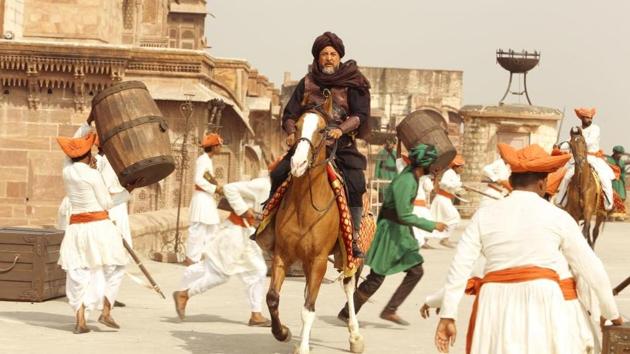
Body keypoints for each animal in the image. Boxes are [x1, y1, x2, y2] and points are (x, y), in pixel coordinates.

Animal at [266, 94, 366, 354]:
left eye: (323, 130)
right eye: (298, 126)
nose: (298, 163)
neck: (304, 207)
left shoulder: (320, 260)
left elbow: (308, 309)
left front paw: (302, 347)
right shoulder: (283, 254)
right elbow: (273, 298)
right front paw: (283, 333)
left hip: (348, 255)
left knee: (349, 286)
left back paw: (355, 337)